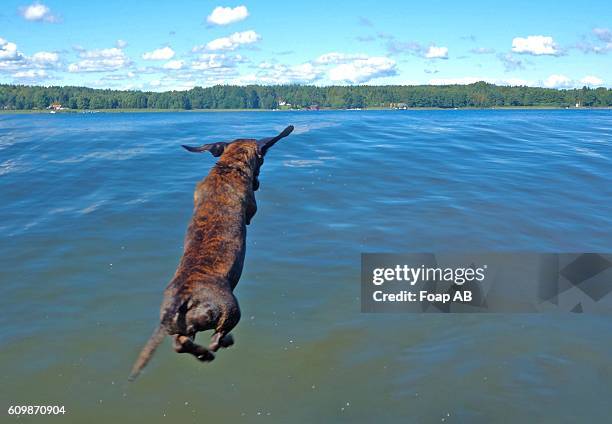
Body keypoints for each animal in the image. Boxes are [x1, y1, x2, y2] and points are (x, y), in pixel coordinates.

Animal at [129, 124, 294, 380]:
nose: (257, 182)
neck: (228, 167)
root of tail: (183, 298)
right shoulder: (251, 208)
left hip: (185, 325)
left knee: (181, 344)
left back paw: (203, 354)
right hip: (230, 310)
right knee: (217, 338)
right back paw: (221, 345)